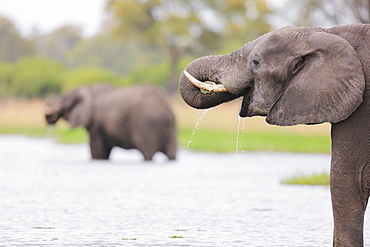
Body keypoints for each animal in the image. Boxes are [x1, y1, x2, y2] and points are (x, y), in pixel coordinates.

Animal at [44, 84, 178, 161]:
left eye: (64, 101)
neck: (88, 89)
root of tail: (165, 109)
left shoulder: (96, 125)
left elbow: (98, 152)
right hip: (172, 126)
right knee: (171, 154)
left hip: (147, 126)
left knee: (148, 154)